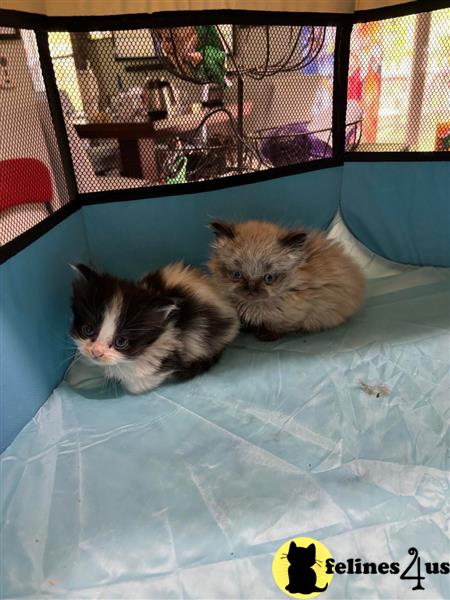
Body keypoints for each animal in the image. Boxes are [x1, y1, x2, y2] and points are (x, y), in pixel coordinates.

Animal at [207, 220, 366, 342]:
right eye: (237, 274)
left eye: (269, 278)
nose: (251, 288)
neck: (254, 305)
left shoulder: (296, 311)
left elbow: (278, 326)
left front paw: (266, 335)